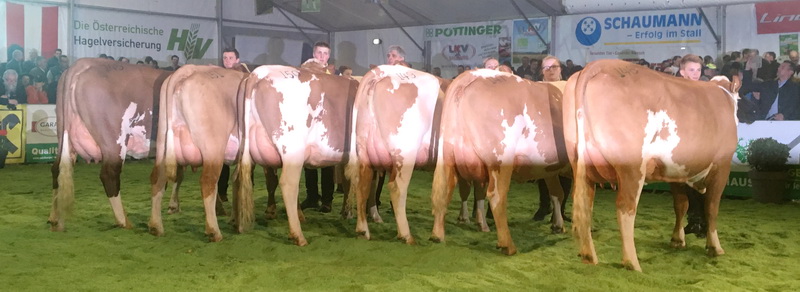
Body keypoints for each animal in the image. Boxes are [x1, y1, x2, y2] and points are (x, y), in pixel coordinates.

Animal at [49, 58, 171, 232]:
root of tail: (81, 64)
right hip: (114, 140)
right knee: (109, 174)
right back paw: (123, 221)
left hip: (63, 134)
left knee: (56, 169)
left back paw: (54, 218)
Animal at [231, 65, 356, 245]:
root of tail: (258, 73)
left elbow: (349, 182)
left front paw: (347, 213)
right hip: (292, 150)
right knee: (288, 183)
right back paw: (298, 235)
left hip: (246, 149)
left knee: (237, 178)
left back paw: (236, 223)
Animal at [432, 69, 568, 256]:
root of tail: (470, 76)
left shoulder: (549, 167)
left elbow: (557, 193)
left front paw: (558, 225)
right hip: (500, 159)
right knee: (496, 196)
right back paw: (508, 245)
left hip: (449, 156)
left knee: (444, 190)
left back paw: (437, 235)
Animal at [564, 59, 744, 272]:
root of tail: (601, 65)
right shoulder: (722, 165)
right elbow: (712, 207)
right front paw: (715, 247)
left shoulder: (677, 170)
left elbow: (681, 204)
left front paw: (677, 240)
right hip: (632, 167)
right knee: (625, 208)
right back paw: (632, 262)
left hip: (580, 164)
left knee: (585, 206)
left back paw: (589, 256)